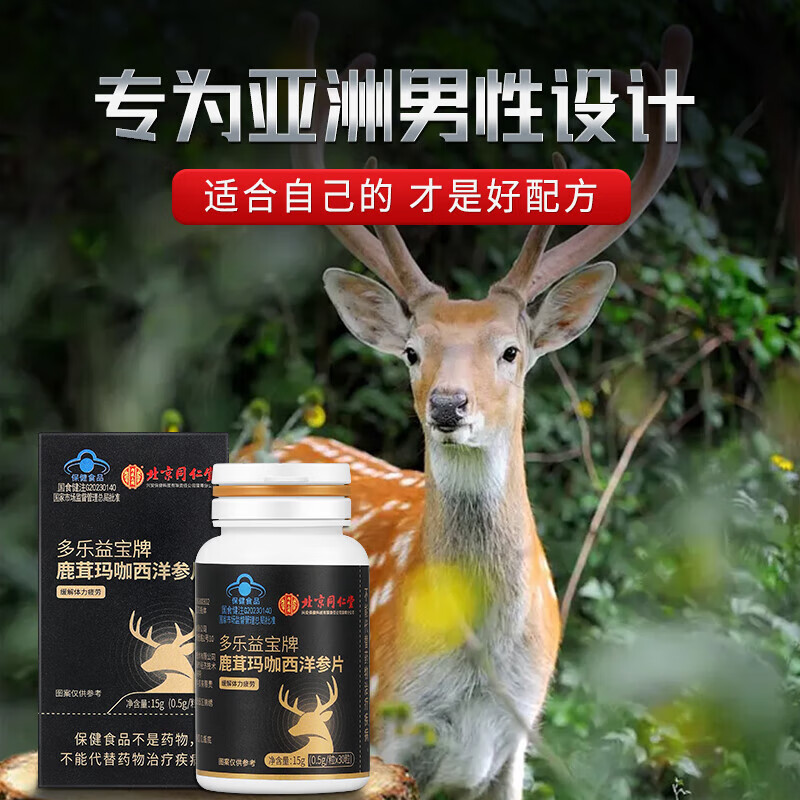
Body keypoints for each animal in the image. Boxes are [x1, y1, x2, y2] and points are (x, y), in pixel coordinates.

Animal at [235, 14, 693, 799]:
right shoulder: (381, 737)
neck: (475, 676)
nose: (449, 406)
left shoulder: (514, 748)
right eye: (412, 352)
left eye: (511, 351)